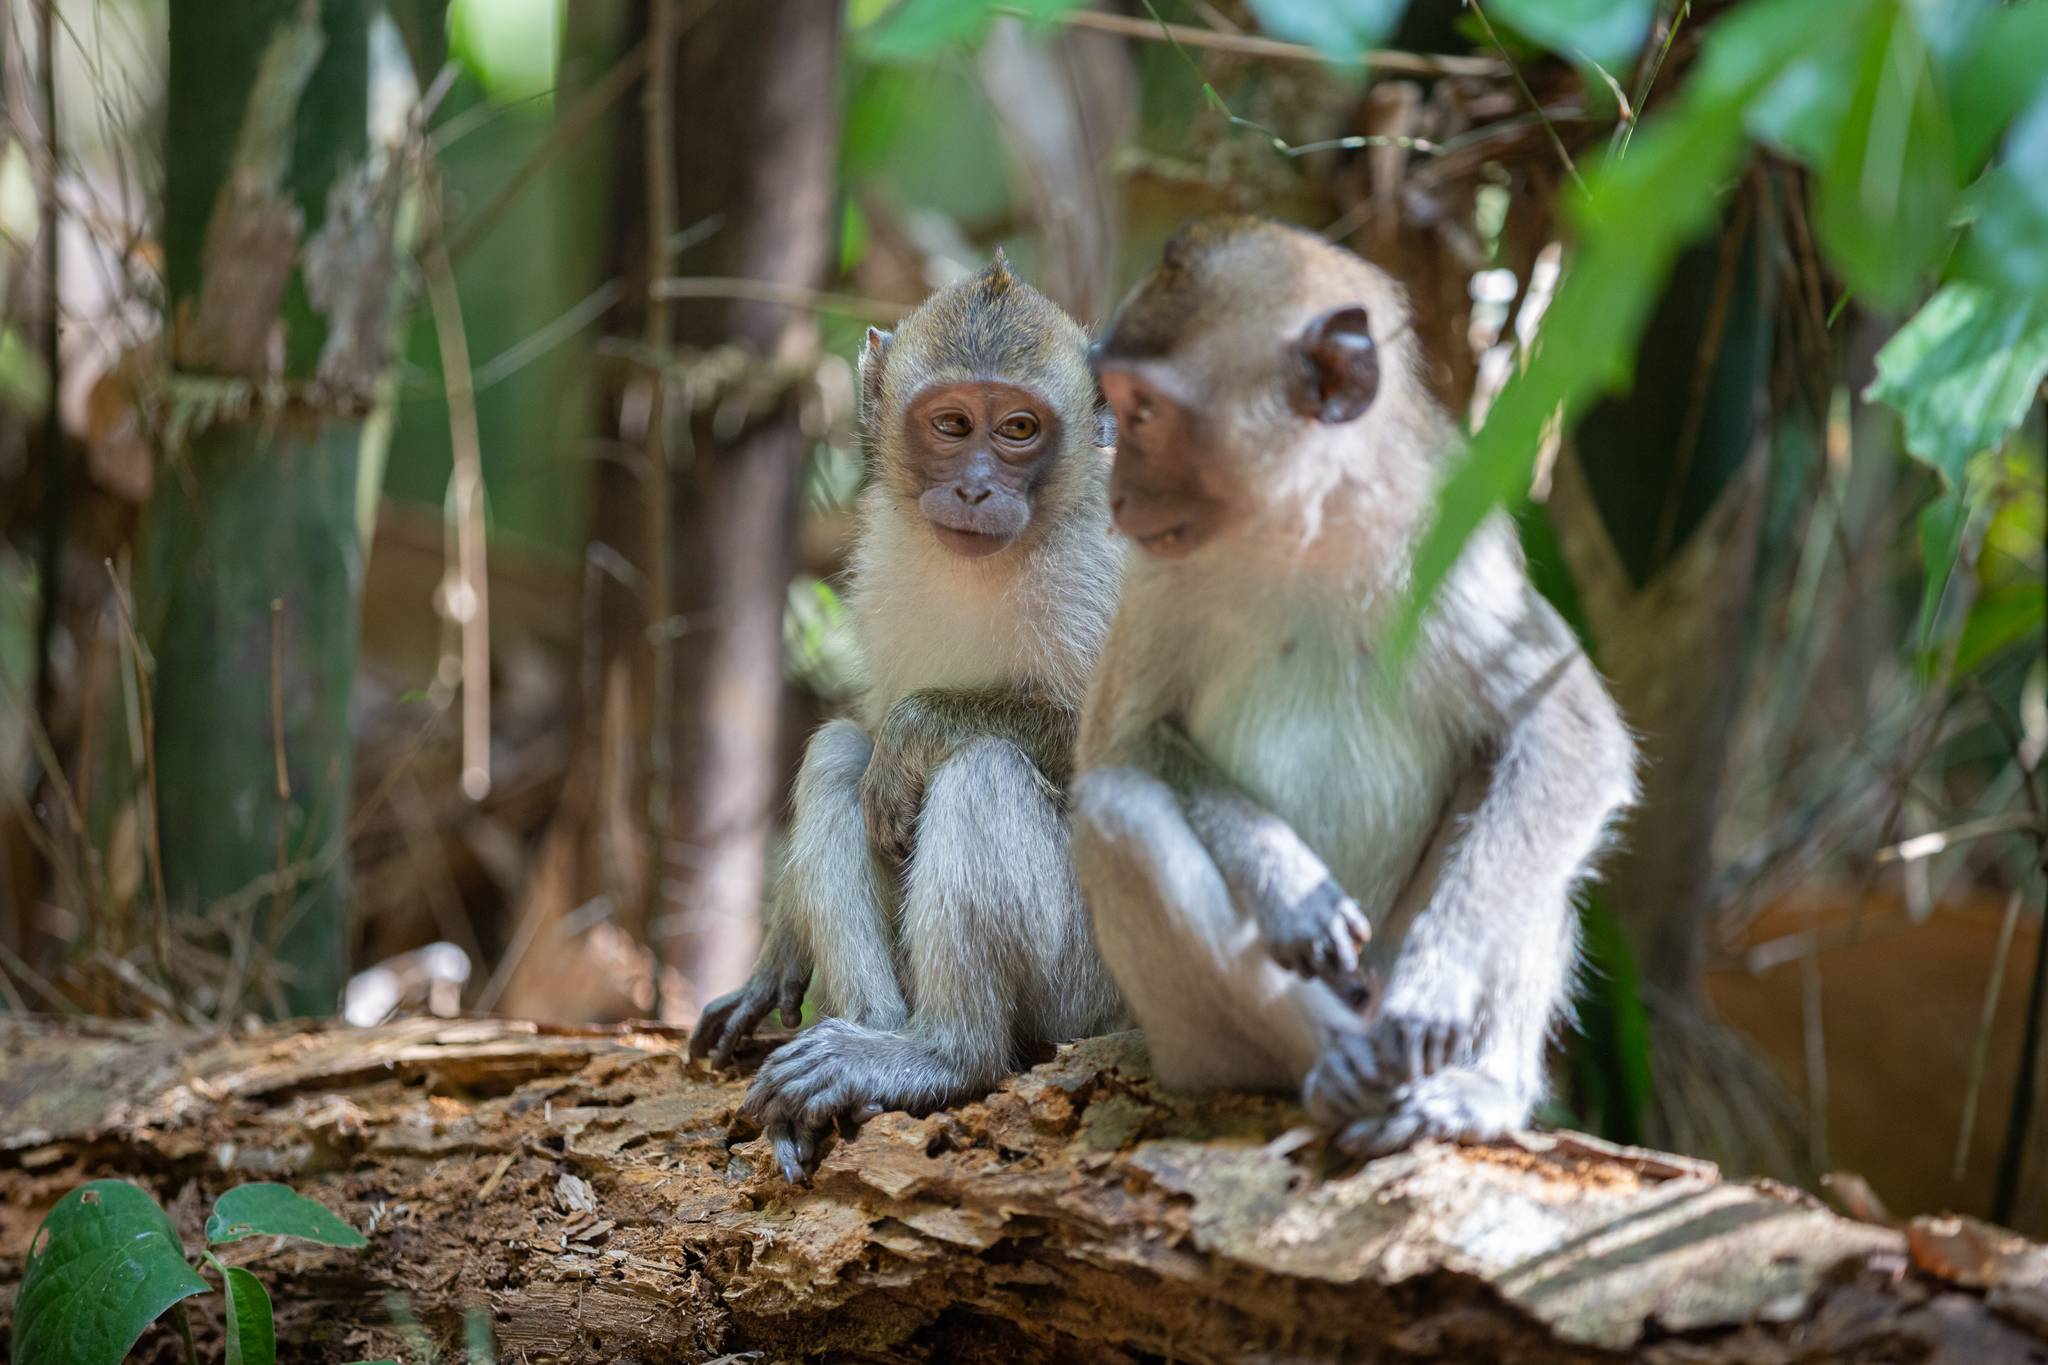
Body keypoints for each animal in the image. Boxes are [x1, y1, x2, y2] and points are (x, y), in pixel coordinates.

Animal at [696, 258, 1130, 1186]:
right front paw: (780, 951)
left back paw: (942, 1054)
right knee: (839, 757)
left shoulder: (1108, 573)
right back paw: (862, 1042)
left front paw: (919, 727)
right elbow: (863, 727)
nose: (974, 486)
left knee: (981, 769)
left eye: (1018, 428)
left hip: (1096, 988)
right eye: (952, 423)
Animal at [1073, 218, 1630, 1162]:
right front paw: (1288, 882)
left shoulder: (1456, 544)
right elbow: (1120, 745)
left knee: (1516, 788)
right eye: (1117, 400)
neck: (1306, 528)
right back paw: (1338, 1062)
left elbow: (1567, 732)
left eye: (1145, 409)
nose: (1116, 494)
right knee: (1119, 816)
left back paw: (1477, 1087)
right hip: (1187, 1039)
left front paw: (1442, 981)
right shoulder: (1156, 577)